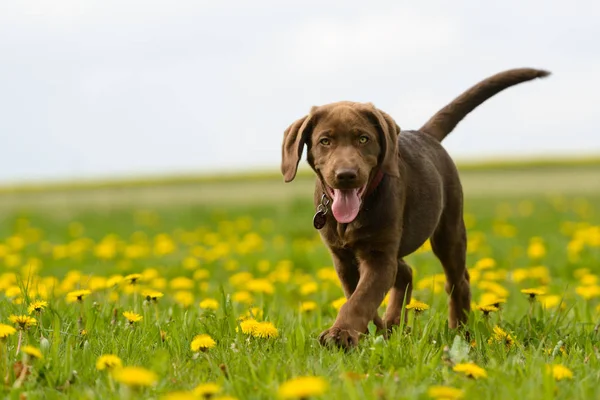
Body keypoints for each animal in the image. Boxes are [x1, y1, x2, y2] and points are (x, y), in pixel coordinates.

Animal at [280, 67, 548, 348]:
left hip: (449, 230)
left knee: (458, 281)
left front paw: (341, 333)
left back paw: (459, 331)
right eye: (325, 141)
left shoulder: (380, 256)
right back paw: (394, 325)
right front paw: (370, 332)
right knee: (406, 271)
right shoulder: (343, 259)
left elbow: (360, 300)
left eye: (363, 139)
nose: (346, 175)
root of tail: (424, 135)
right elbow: (358, 296)